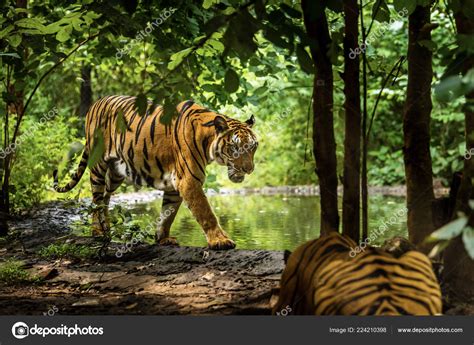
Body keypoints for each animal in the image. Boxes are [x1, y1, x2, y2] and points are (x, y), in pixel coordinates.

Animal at [53, 95, 258, 249]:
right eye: (235, 147)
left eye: (253, 146)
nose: (249, 169)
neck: (207, 141)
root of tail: (96, 103)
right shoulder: (189, 180)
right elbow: (206, 212)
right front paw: (220, 241)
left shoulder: (175, 185)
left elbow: (168, 214)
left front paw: (162, 238)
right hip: (98, 165)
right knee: (96, 199)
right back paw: (98, 232)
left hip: (116, 173)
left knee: (105, 198)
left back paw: (107, 230)